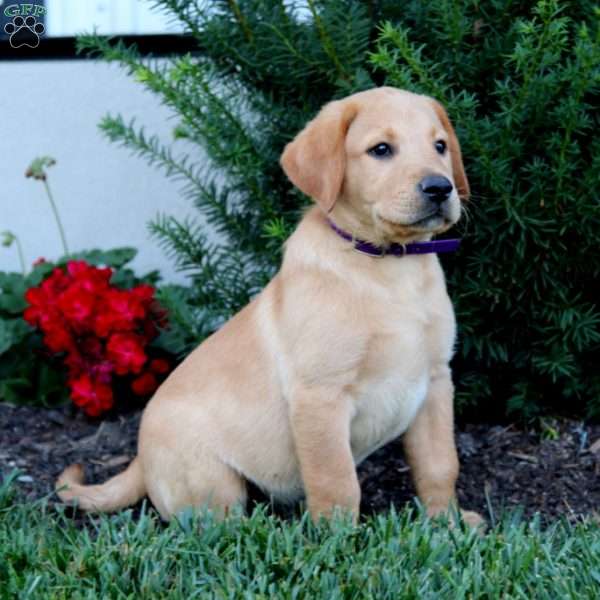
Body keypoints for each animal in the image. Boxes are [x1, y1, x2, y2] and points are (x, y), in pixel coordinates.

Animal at [57, 86, 482, 528]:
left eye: (440, 146)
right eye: (381, 149)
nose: (440, 188)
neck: (389, 264)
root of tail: (139, 459)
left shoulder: (435, 380)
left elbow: (440, 464)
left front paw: (449, 523)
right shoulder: (319, 395)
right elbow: (336, 481)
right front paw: (339, 538)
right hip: (214, 478)